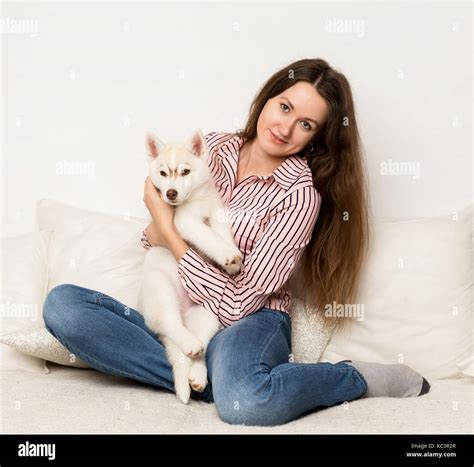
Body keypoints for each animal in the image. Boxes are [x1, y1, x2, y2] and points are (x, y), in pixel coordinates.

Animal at [136, 130, 241, 404]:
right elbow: (209, 236)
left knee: (197, 348)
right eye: (163, 173)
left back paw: (197, 374)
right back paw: (188, 345)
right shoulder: (185, 222)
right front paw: (227, 254)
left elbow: (222, 233)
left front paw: (231, 261)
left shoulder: (217, 212)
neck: (197, 198)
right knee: (171, 325)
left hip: (208, 315)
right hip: (160, 291)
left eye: (185, 172)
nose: (171, 193)